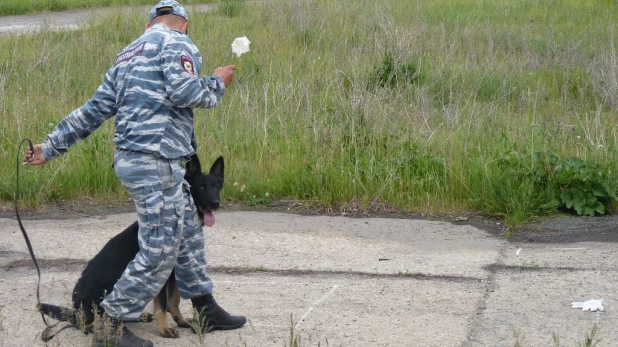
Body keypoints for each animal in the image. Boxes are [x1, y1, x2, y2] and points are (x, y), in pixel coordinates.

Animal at [38, 156, 224, 340]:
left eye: (216, 187)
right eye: (201, 187)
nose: (215, 203)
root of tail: (75, 310)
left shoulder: (174, 273)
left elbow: (174, 300)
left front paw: (181, 320)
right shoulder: (160, 275)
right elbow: (162, 305)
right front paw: (165, 328)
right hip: (108, 289)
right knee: (95, 319)